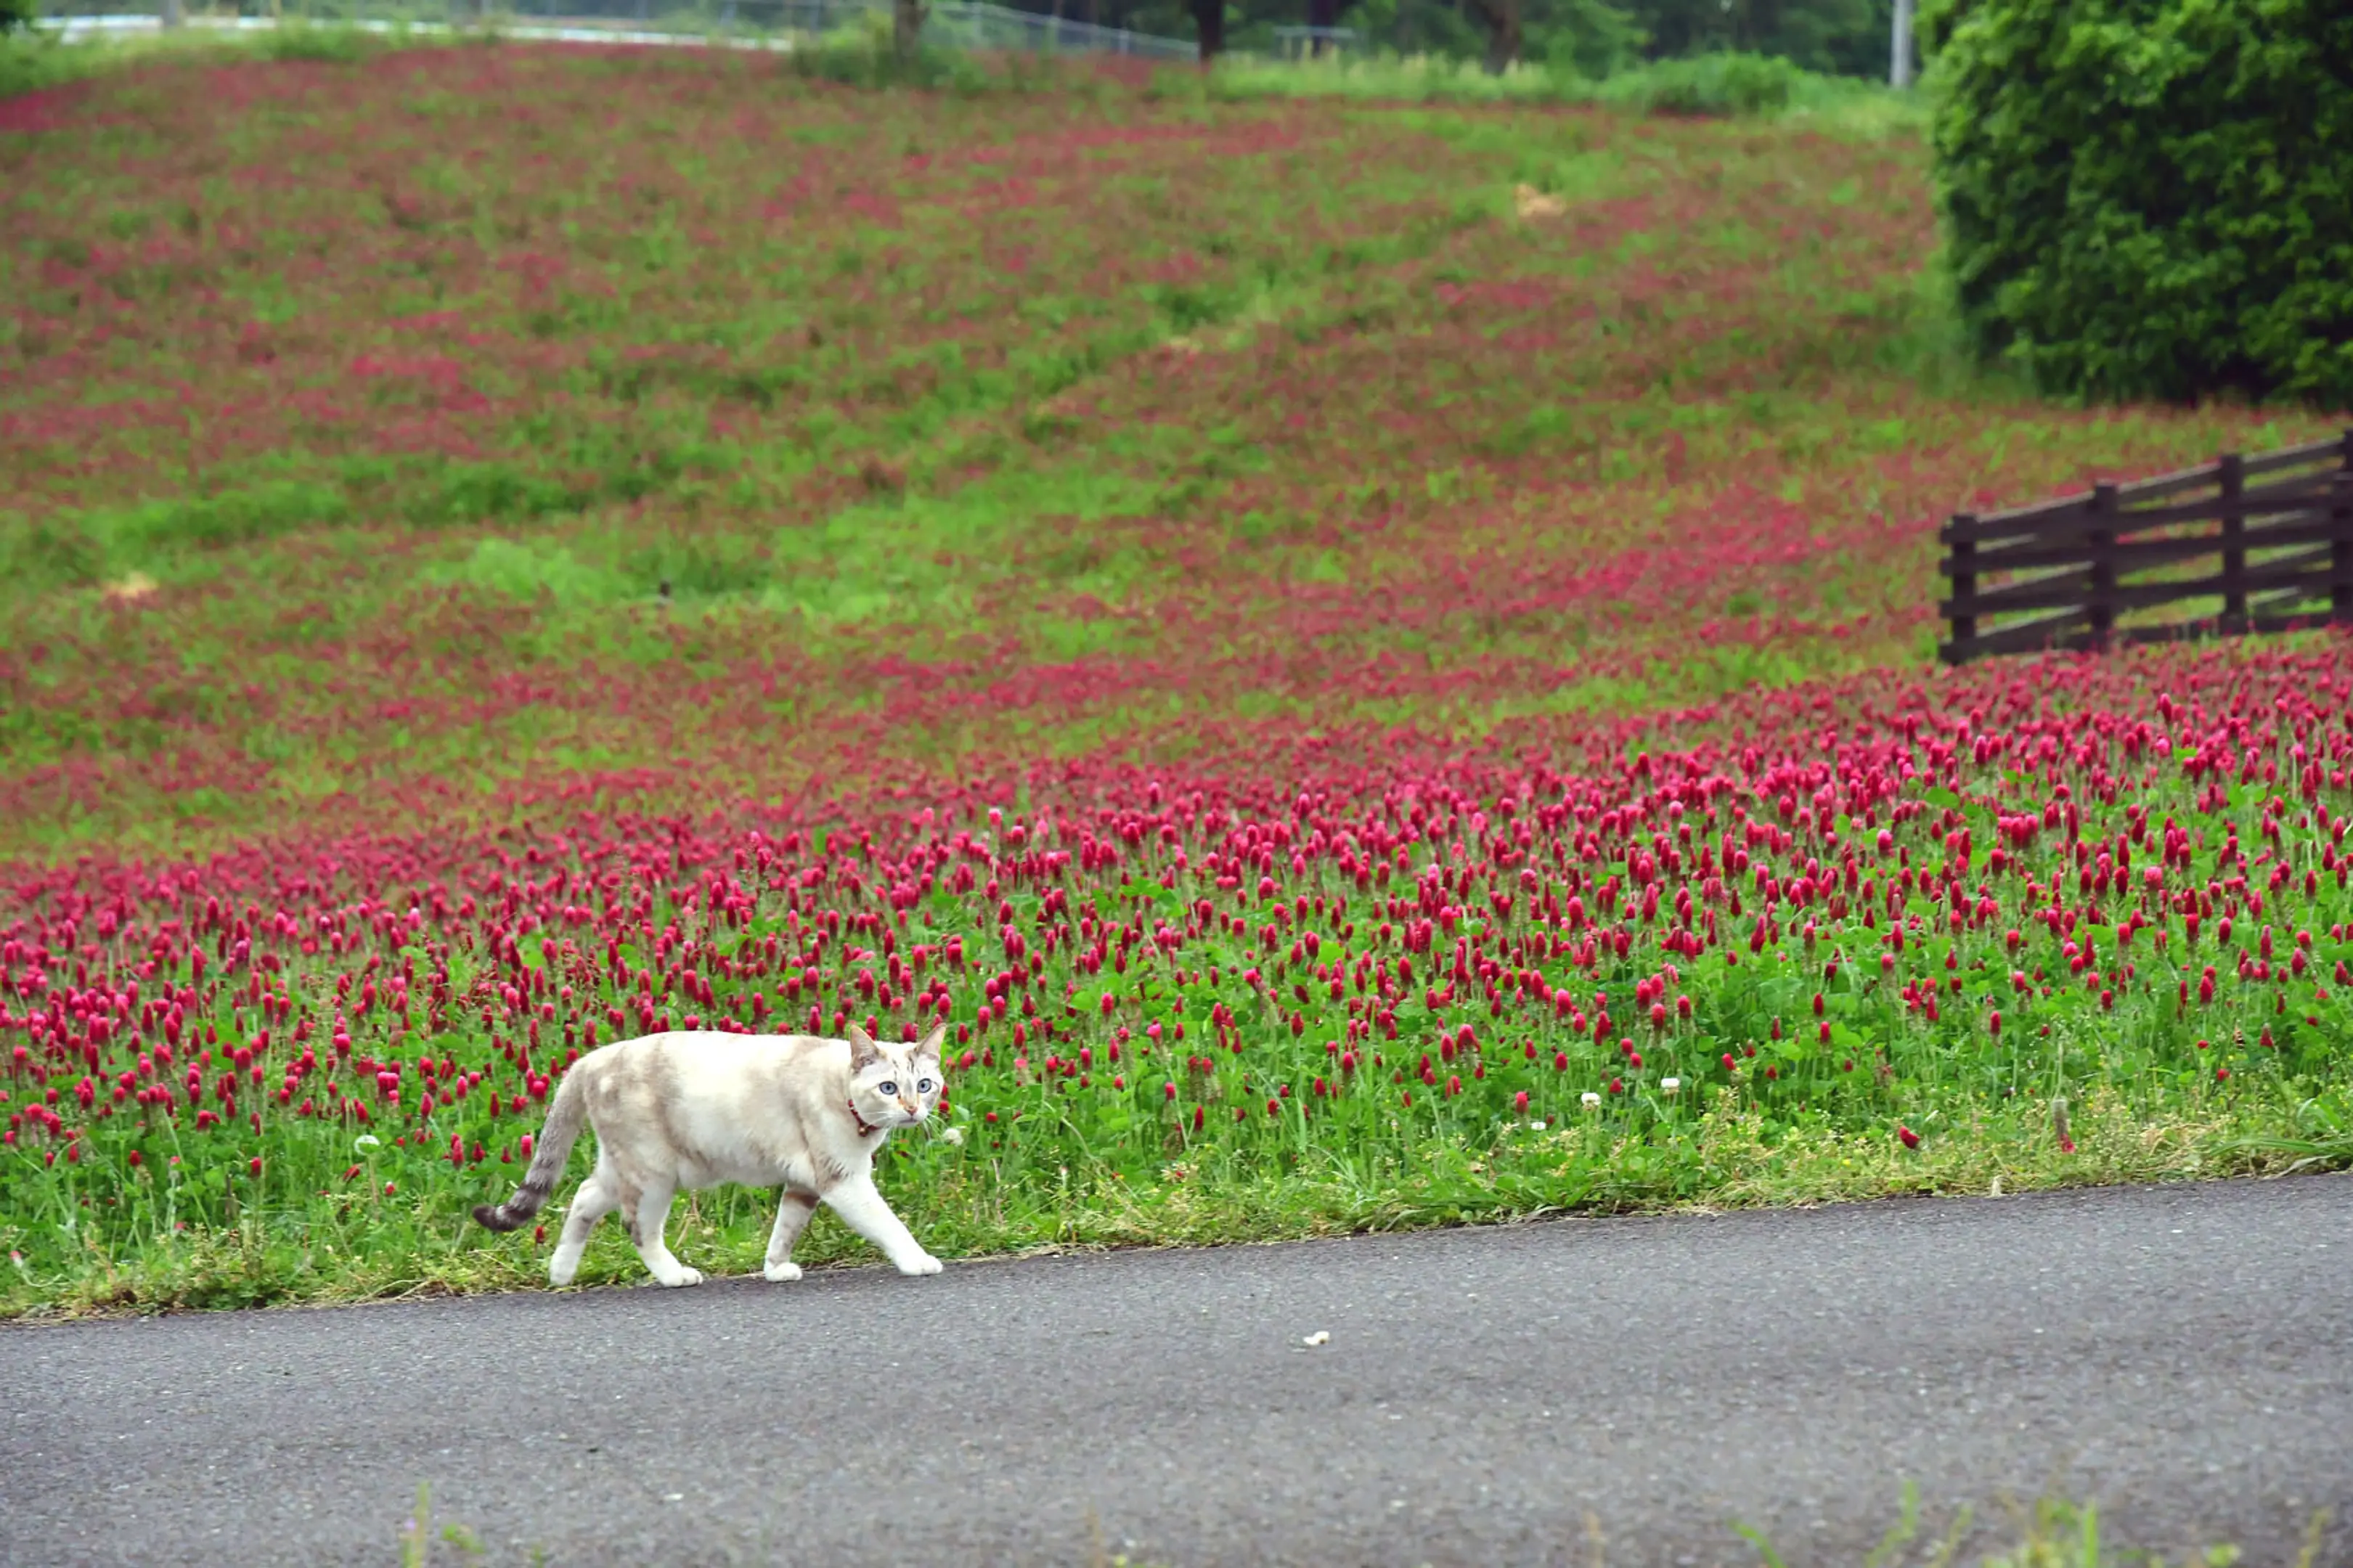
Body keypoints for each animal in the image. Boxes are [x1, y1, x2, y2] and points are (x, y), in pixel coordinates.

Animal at [473, 1012, 950, 1281]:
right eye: (889, 1088)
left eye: (925, 1086)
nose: (912, 1110)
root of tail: (588, 1060)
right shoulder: (844, 1181)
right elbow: (890, 1225)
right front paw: (918, 1261)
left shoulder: (805, 1185)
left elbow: (785, 1229)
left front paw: (775, 1270)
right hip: (654, 1175)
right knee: (638, 1229)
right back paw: (674, 1275)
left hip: (623, 1167)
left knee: (584, 1197)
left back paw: (561, 1271)